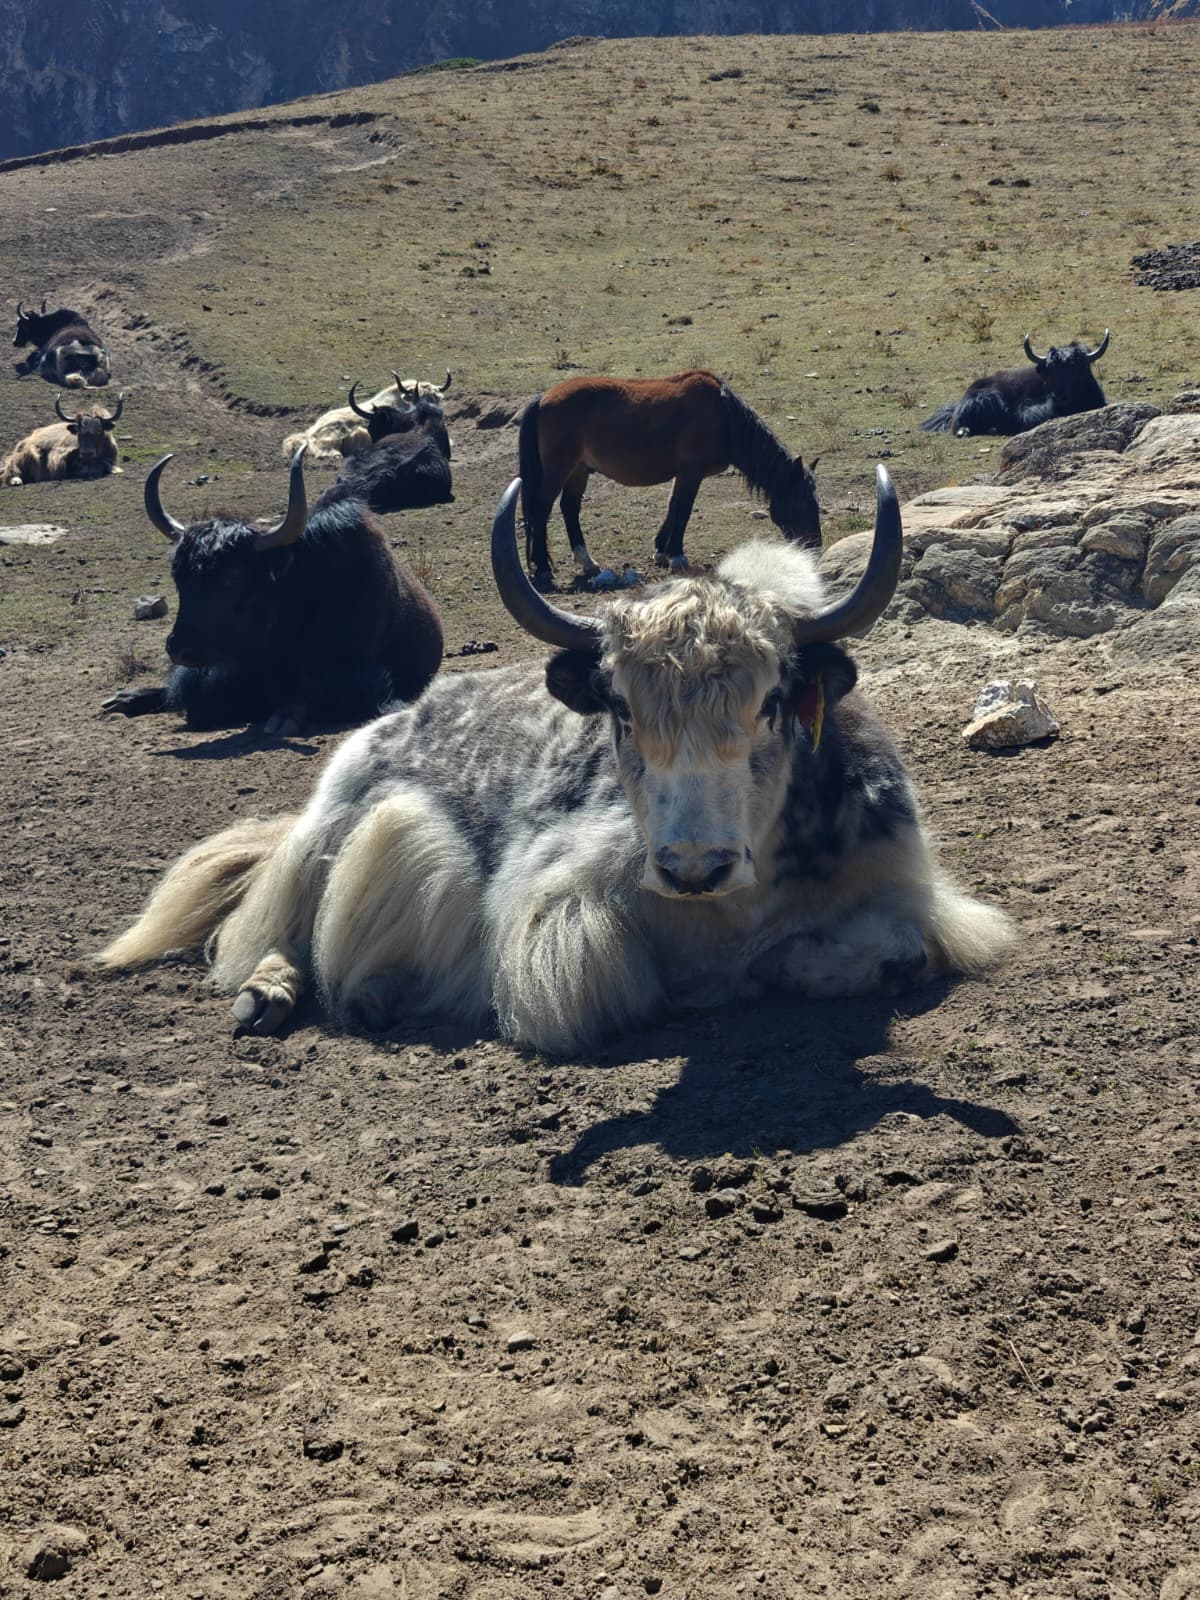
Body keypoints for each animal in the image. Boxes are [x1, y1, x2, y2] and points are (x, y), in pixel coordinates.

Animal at [518, 369, 821, 588]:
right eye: (803, 503)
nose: (814, 549)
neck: (723, 416)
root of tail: (543, 398)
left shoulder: (683, 474)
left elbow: (673, 507)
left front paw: (661, 551)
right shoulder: (691, 472)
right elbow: (683, 510)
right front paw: (677, 556)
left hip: (579, 470)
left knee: (569, 508)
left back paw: (587, 562)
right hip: (560, 469)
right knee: (541, 509)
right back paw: (543, 568)